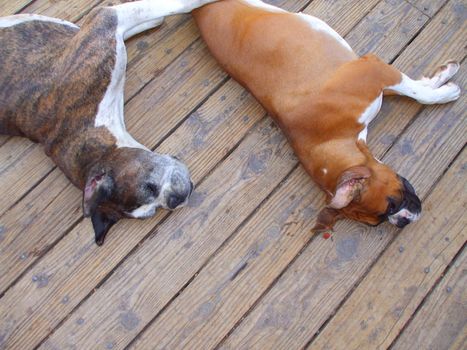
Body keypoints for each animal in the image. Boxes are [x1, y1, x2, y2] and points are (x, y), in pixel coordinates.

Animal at [0, 0, 219, 246]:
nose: (175, 199)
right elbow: (167, 7)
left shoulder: (107, 23)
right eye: (154, 209)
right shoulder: (106, 19)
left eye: (150, 186)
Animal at [193, 0, 460, 235]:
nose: (403, 221)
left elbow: (417, 91)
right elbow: (416, 91)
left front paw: (441, 83)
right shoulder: (379, 76)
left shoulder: (376, 70)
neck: (334, 138)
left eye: (392, 204)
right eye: (380, 220)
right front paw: (442, 86)